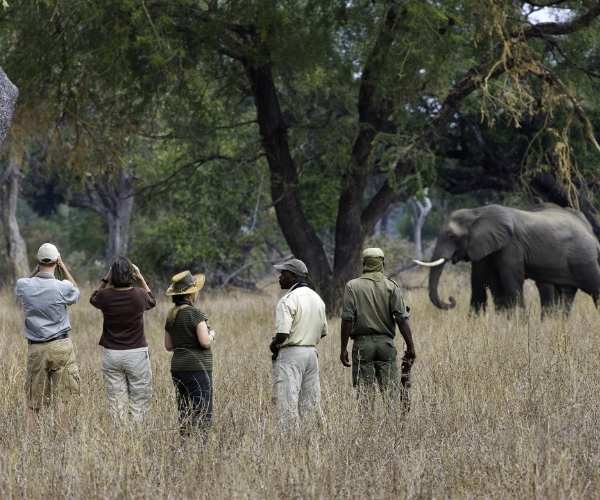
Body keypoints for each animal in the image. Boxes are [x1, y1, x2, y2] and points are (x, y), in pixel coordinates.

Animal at [414, 202, 600, 312]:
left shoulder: (512, 246)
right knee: (567, 294)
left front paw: (520, 325)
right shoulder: (487, 249)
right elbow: (494, 284)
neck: (476, 212)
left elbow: (511, 282)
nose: (451, 300)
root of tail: (590, 232)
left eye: (451, 235)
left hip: (584, 257)